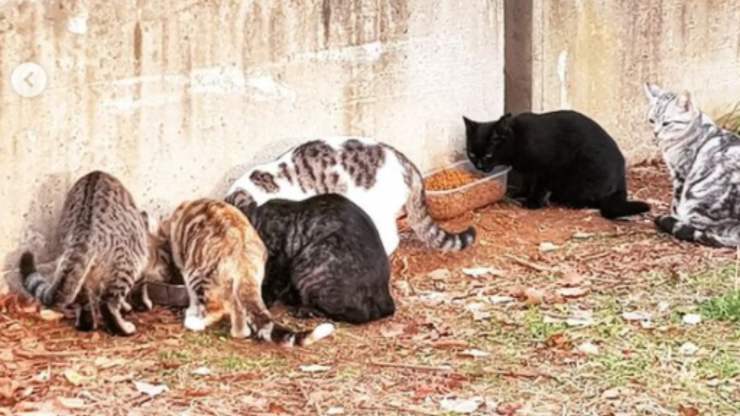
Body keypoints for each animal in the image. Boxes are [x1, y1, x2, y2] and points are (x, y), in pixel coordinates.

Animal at [19, 171, 160, 335]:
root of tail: (85, 229)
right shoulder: (140, 262)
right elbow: (140, 286)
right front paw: (140, 303)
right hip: (126, 263)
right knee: (108, 303)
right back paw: (122, 328)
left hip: (75, 267)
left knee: (84, 301)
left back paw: (86, 324)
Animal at [153, 198, 335, 346]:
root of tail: (242, 253)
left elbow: (193, 298)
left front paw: (192, 311)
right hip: (240, 281)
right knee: (238, 307)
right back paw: (240, 333)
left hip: (198, 272)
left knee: (217, 308)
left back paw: (195, 323)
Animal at [226, 190, 395, 324]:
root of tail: (385, 297)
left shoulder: (280, 256)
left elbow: (271, 283)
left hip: (307, 264)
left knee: (351, 314)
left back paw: (303, 309)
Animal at [464, 112, 651, 219]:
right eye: (472, 154)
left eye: (488, 155)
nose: (479, 166)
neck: (518, 138)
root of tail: (621, 179)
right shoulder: (529, 171)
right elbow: (527, 182)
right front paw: (521, 193)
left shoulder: (546, 168)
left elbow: (539, 186)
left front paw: (532, 203)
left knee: (594, 200)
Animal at [643, 84, 740, 246]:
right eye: (651, 121)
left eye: (666, 123)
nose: (655, 133)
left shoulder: (681, 173)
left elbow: (676, 201)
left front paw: (674, 216)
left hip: (697, 199)